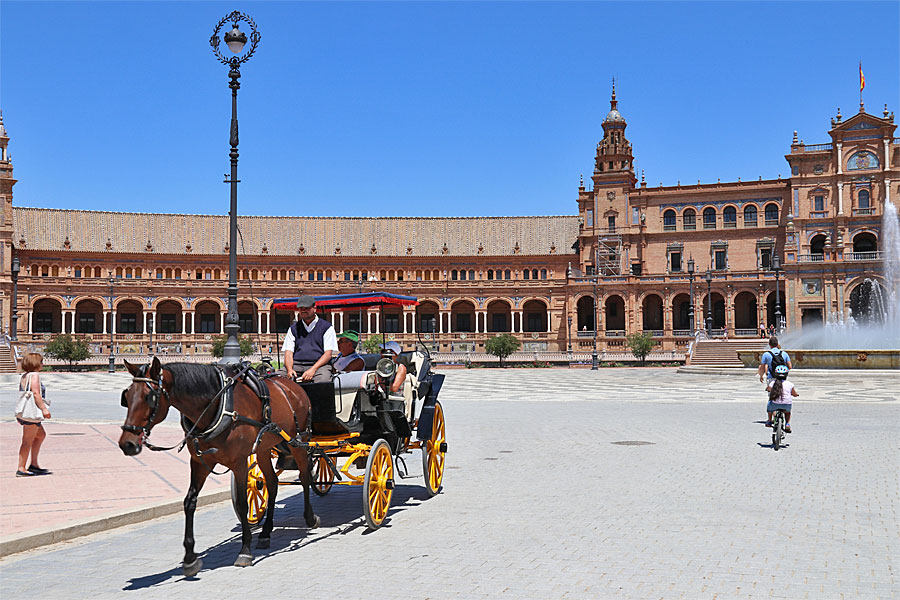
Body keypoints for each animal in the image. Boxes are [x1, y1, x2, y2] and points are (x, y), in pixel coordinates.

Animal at [118, 358, 318, 576]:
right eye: (126, 396)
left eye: (149, 397)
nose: (127, 444)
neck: (217, 407)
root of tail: (293, 385)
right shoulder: (199, 463)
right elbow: (189, 502)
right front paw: (190, 557)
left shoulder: (240, 463)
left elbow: (242, 503)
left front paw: (245, 550)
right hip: (264, 448)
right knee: (272, 483)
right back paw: (265, 533)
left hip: (298, 441)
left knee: (305, 475)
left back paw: (309, 517)